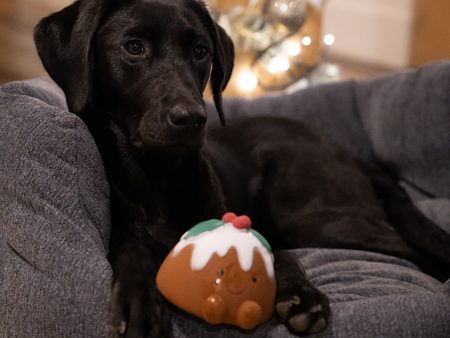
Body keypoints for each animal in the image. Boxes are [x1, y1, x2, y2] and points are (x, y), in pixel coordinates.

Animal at [34, 0, 450, 336]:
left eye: (200, 51)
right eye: (133, 47)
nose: (191, 118)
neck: (160, 178)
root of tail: (347, 151)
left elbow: (282, 256)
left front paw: (303, 296)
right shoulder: (123, 236)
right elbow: (131, 253)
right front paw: (140, 303)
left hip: (313, 216)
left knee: (408, 250)